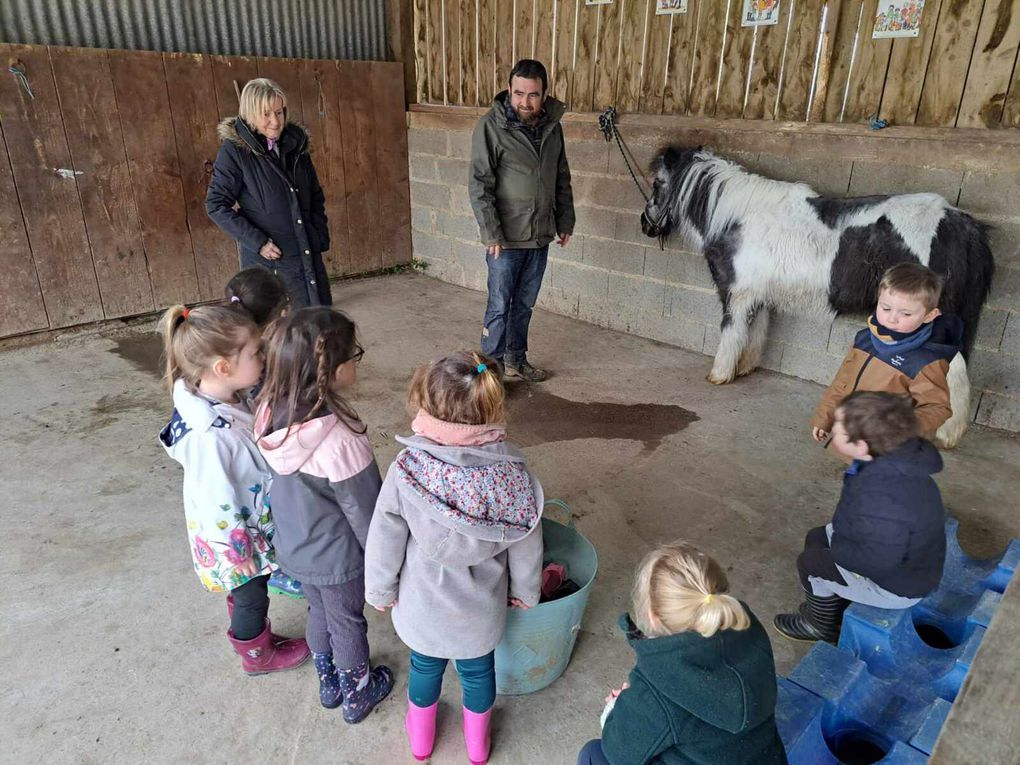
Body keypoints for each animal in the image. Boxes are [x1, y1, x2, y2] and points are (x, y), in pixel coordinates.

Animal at [640, 146, 991, 446]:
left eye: (657, 183)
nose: (645, 225)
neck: (735, 216)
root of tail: (962, 223)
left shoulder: (736, 293)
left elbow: (732, 333)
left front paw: (719, 375)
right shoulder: (759, 295)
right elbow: (755, 333)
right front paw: (745, 368)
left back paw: (946, 435)